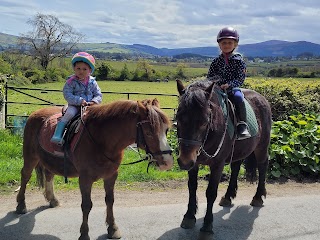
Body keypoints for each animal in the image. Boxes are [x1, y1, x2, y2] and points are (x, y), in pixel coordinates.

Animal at [15, 98, 174, 240]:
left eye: (166, 130)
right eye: (148, 133)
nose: (167, 162)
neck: (102, 140)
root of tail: (35, 113)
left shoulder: (111, 175)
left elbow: (110, 200)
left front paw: (112, 228)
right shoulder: (85, 178)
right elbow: (86, 205)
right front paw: (84, 234)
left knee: (49, 174)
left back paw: (52, 199)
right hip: (31, 157)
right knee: (25, 175)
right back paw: (21, 205)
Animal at [176, 79, 272, 238]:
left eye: (204, 121)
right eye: (178, 118)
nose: (184, 161)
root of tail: (262, 98)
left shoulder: (217, 164)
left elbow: (211, 192)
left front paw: (207, 226)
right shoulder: (194, 164)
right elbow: (192, 187)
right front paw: (189, 216)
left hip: (262, 146)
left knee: (262, 165)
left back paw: (258, 197)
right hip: (239, 150)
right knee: (236, 167)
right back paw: (228, 196)